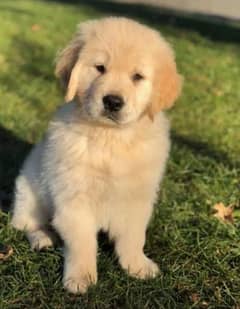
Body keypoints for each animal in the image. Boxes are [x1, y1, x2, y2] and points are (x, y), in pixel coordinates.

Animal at [10, 17, 181, 294]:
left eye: (137, 76)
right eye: (100, 68)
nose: (112, 101)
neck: (110, 138)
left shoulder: (136, 198)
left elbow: (133, 237)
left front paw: (137, 265)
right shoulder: (74, 201)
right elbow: (82, 243)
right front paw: (81, 277)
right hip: (29, 192)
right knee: (25, 223)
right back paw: (43, 237)